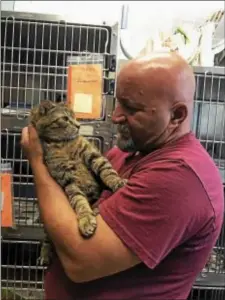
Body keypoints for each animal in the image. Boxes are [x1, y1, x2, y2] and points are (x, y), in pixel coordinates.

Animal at [29, 101, 126, 264]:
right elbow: (79, 200)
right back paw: (45, 253)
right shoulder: (67, 179)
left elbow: (107, 171)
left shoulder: (93, 155)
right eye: (64, 118)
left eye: (75, 117)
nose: (79, 126)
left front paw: (117, 182)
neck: (62, 145)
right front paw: (86, 219)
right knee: (48, 237)